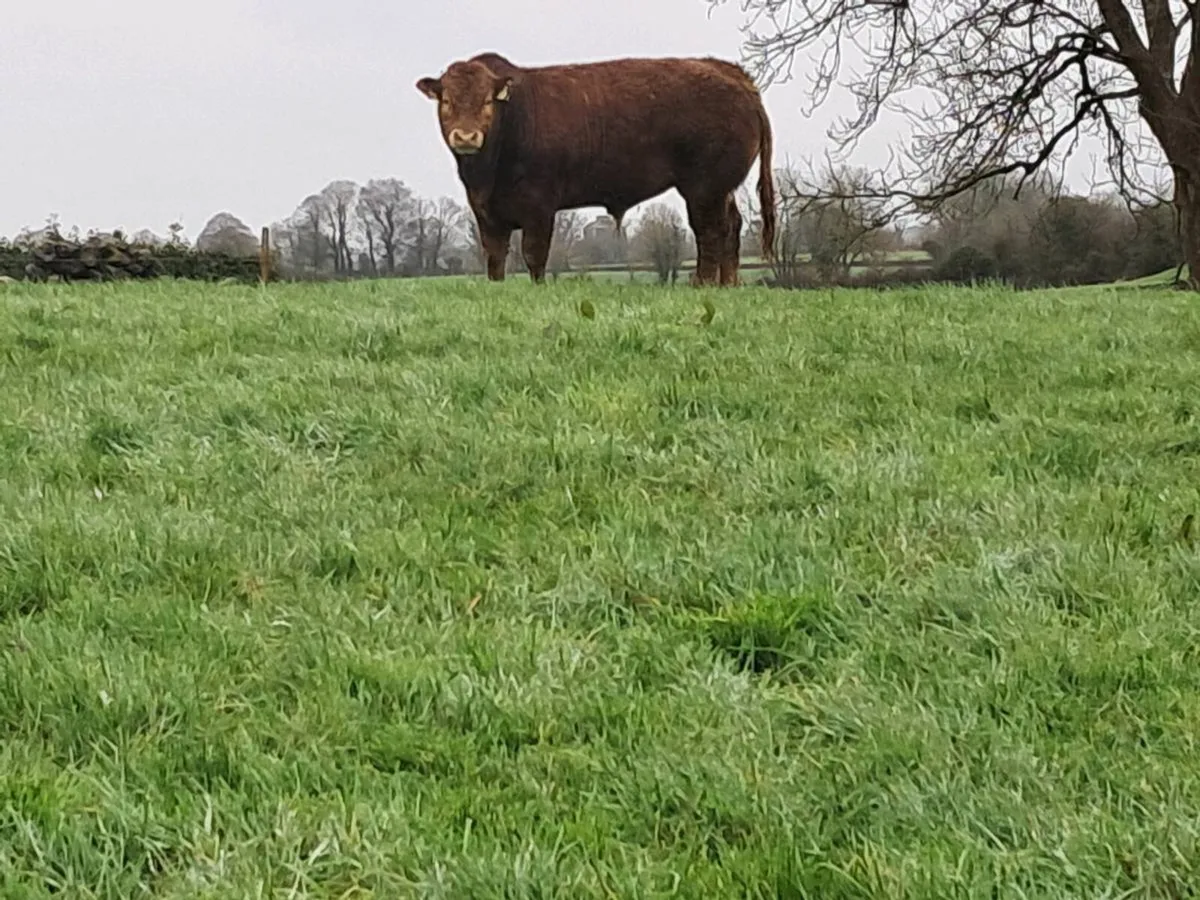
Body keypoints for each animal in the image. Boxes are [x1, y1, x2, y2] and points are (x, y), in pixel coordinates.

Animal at [416, 52, 776, 287]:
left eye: (487, 101)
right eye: (446, 101)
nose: (466, 136)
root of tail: (731, 73)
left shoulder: (539, 206)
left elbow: (534, 254)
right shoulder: (486, 212)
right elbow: (494, 257)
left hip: (704, 187)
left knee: (711, 232)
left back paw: (703, 284)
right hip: (721, 188)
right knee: (732, 226)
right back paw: (729, 285)